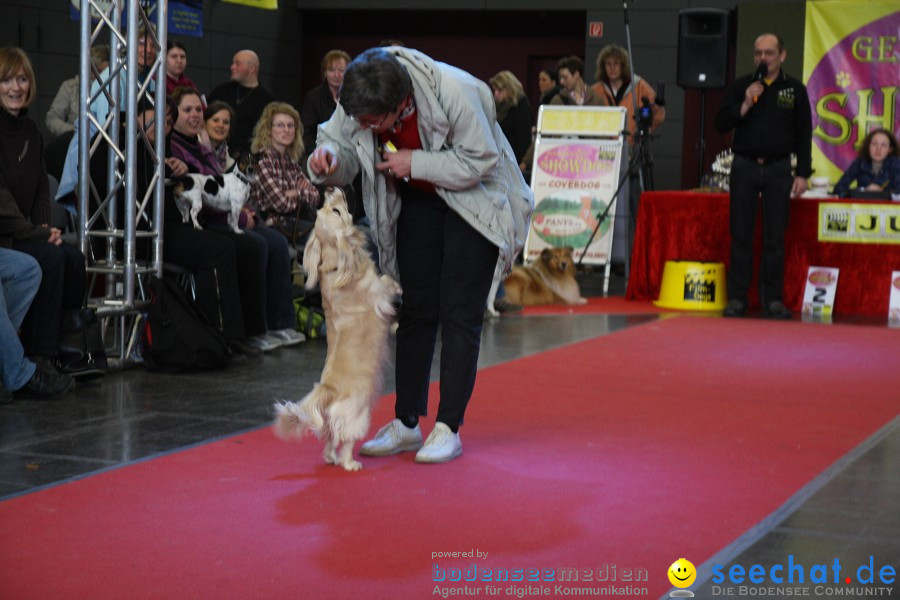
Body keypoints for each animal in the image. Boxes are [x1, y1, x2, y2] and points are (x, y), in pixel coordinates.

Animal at [272, 188, 402, 474]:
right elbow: (386, 282)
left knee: (330, 435)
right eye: (337, 211)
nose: (331, 189)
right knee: (346, 438)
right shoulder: (378, 294)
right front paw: (398, 287)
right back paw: (349, 463)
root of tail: (328, 388)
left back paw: (331, 457)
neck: (338, 267)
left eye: (325, 209)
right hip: (358, 413)